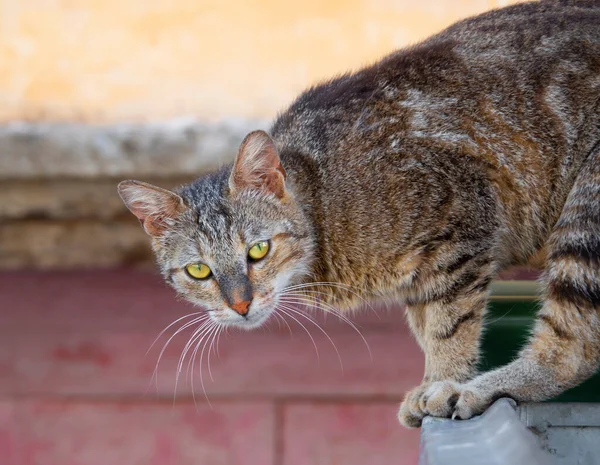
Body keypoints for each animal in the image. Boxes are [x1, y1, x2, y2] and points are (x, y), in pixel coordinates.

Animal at [117, 0, 600, 428]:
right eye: (198, 270)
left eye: (258, 250)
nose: (240, 305)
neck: (323, 201)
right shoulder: (425, 274)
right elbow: (428, 324)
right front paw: (431, 380)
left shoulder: (460, 218)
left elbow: (449, 326)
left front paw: (444, 382)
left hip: (586, 216)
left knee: (574, 348)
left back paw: (486, 388)